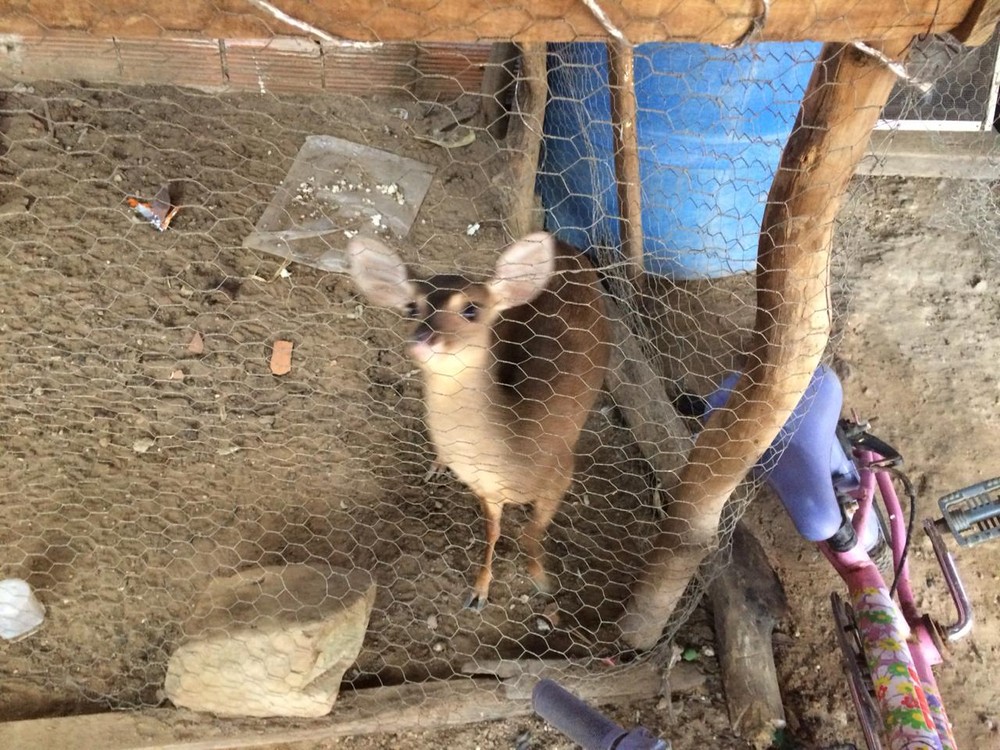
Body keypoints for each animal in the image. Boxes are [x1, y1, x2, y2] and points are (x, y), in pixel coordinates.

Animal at [348, 234, 604, 612]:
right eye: (412, 307)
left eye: (471, 309)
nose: (422, 341)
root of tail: (564, 244)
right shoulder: (486, 489)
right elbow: (493, 532)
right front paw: (479, 591)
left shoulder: (561, 472)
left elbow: (532, 532)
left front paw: (541, 579)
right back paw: (437, 464)